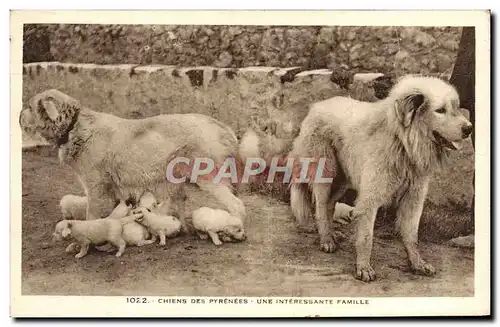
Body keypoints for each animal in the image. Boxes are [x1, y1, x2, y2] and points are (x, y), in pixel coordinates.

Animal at [286, 75, 472, 284]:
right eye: (440, 110)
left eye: (456, 108)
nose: (469, 128)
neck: (402, 141)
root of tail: (317, 106)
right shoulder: (370, 198)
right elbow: (366, 237)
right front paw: (364, 268)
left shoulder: (414, 198)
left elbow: (411, 234)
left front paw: (417, 263)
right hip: (326, 172)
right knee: (319, 207)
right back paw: (326, 239)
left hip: (343, 180)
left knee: (329, 205)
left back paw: (333, 235)